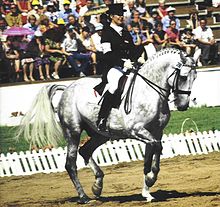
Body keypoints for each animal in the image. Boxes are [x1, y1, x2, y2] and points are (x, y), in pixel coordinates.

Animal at [18, 48, 199, 204]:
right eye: (183, 77)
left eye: (195, 77)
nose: (183, 105)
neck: (149, 91)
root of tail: (68, 87)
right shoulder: (137, 130)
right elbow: (155, 149)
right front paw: (150, 179)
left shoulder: (155, 132)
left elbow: (153, 154)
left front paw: (147, 191)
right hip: (73, 132)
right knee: (70, 163)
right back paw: (84, 197)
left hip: (100, 135)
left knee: (85, 151)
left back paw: (97, 187)